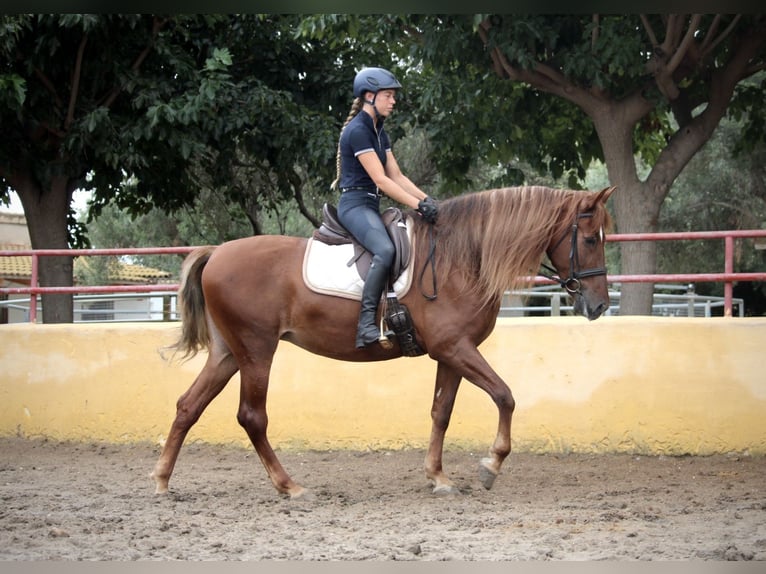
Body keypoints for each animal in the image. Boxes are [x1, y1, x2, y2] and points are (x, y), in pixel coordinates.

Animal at [150, 186, 616, 500]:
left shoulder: (451, 354)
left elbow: (441, 412)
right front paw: (491, 464)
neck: (461, 257)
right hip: (257, 351)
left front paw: (438, 477)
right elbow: (505, 396)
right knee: (252, 417)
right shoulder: (457, 349)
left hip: (229, 353)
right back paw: (290, 486)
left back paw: (162, 481)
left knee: (188, 406)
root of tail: (217, 253)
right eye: (589, 239)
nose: (598, 305)